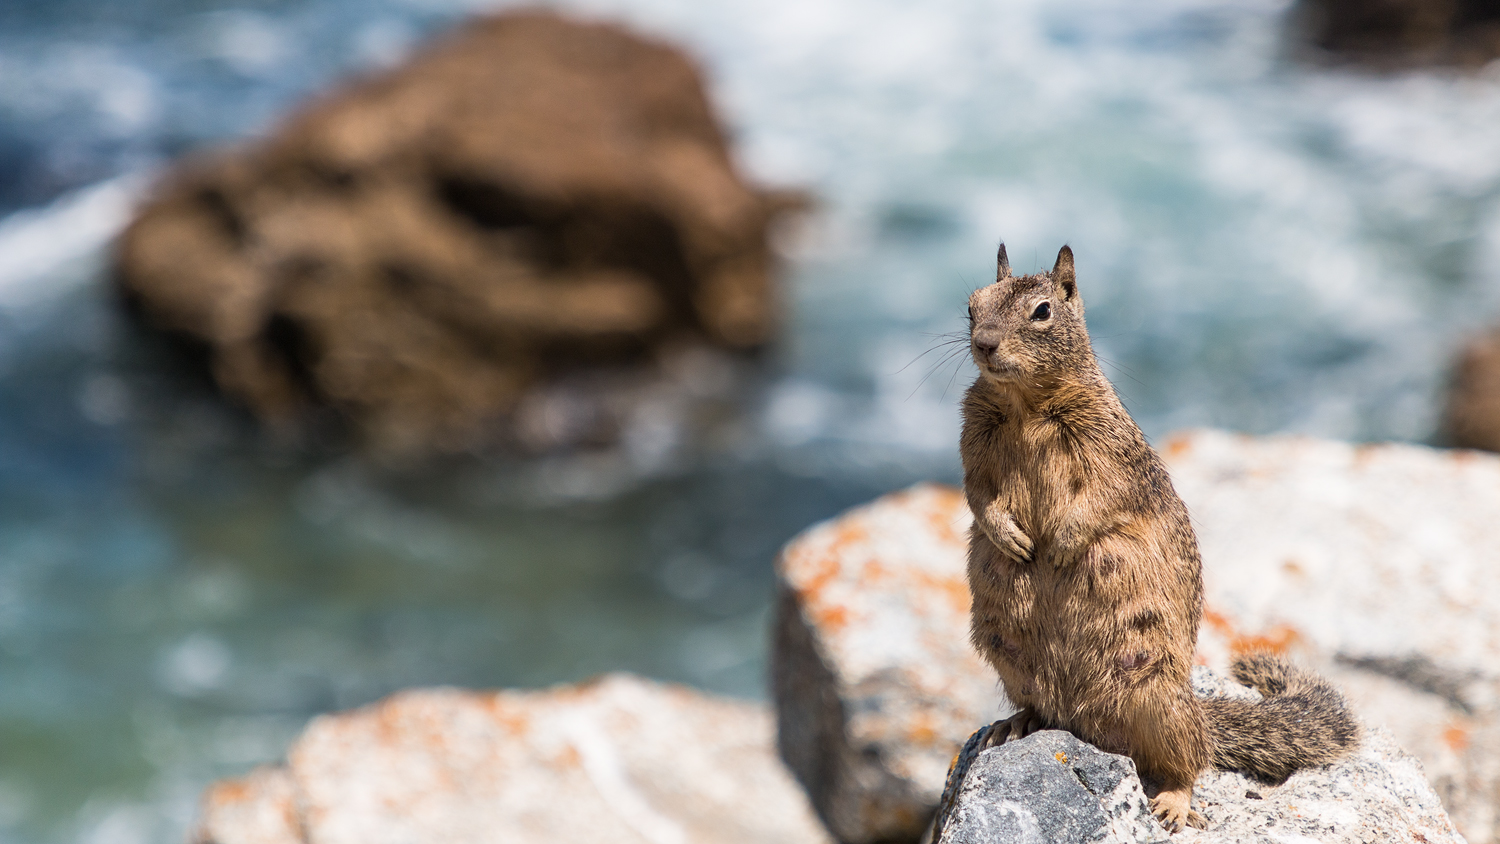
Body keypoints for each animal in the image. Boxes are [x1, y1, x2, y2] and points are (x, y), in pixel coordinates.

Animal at [960, 244, 1362, 833]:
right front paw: (1008, 536)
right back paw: (1014, 723)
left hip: (1160, 698)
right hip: (1008, 658)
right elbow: (977, 493)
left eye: (1042, 311)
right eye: (972, 304)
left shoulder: (1111, 454)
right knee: (1042, 708)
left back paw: (1173, 803)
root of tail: (1084, 722)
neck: (1024, 404)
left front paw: (1060, 544)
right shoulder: (972, 436)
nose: (984, 343)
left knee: (1188, 761)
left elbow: (1102, 499)